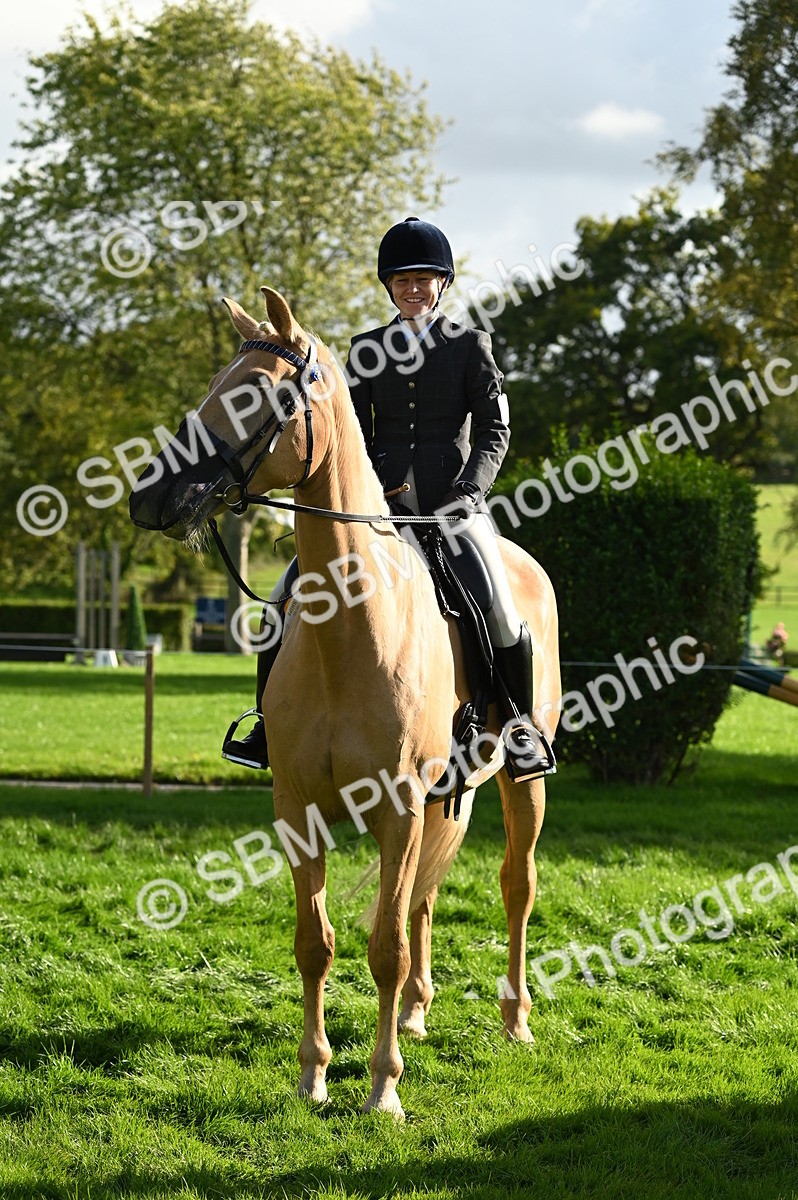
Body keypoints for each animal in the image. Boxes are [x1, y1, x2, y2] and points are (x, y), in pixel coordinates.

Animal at [129, 287, 561, 1118]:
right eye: (211, 388)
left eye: (255, 395)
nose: (151, 497)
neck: (353, 632)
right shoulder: (298, 806)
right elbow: (316, 942)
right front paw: (314, 1075)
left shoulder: (398, 804)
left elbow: (382, 947)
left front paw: (383, 1089)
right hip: (443, 798)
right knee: (425, 896)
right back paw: (420, 1013)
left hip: (518, 783)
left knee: (514, 887)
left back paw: (516, 1021)